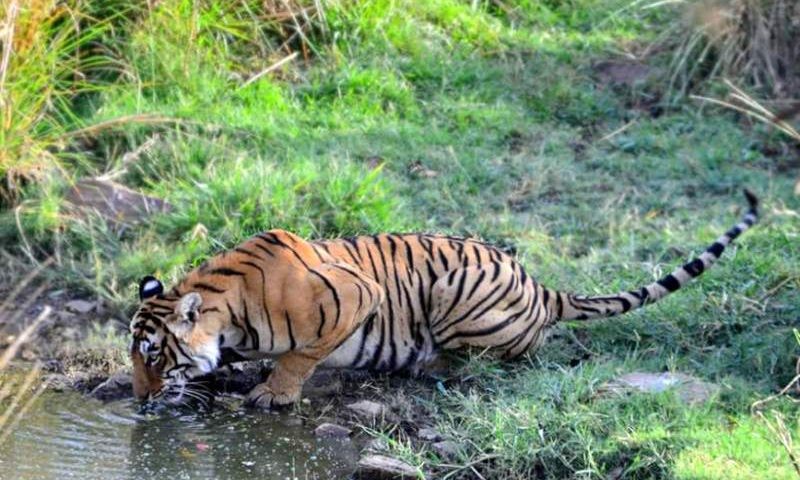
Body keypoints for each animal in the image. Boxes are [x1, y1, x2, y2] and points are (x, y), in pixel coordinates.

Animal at [130, 191, 759, 409]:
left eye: (155, 356)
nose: (140, 398)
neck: (227, 313)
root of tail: (542, 286)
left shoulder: (355, 296)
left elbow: (300, 354)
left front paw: (273, 393)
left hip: (452, 292)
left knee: (510, 358)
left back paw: (434, 367)